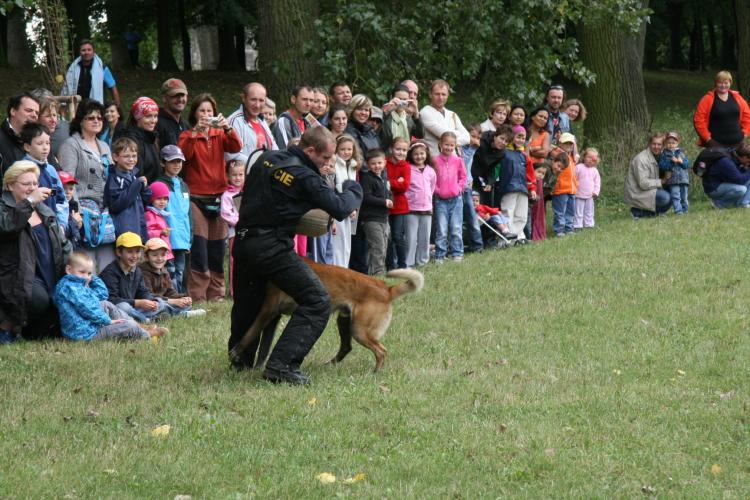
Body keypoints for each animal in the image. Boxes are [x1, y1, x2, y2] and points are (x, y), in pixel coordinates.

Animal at [231, 258, 424, 372]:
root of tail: (387, 289)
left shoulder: (268, 310)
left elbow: (249, 334)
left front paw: (236, 352)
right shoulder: (274, 317)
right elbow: (264, 347)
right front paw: (257, 368)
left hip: (359, 330)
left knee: (381, 351)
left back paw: (375, 373)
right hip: (344, 321)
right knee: (346, 348)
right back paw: (328, 365)